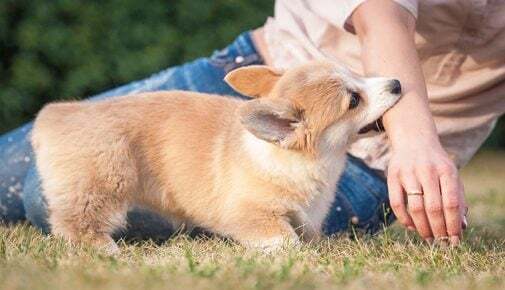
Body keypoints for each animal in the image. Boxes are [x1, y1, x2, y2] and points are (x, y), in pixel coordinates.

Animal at [31, 61, 402, 254]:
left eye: (356, 73)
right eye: (353, 100)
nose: (398, 83)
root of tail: (54, 115)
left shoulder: (308, 216)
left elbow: (308, 233)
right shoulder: (250, 214)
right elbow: (286, 239)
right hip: (105, 180)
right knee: (73, 221)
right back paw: (101, 247)